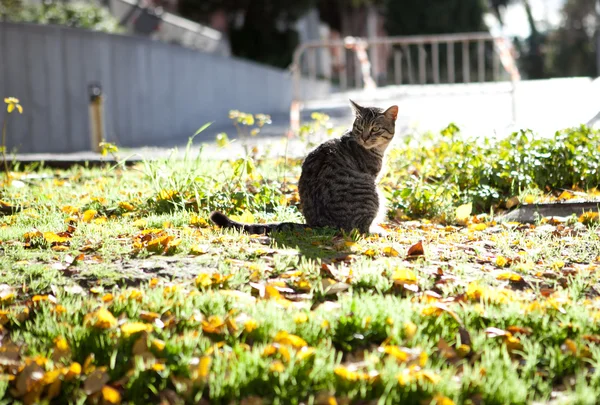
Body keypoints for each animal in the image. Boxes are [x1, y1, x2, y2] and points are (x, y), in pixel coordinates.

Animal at [211, 98, 398, 234]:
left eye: (375, 129)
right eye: (359, 127)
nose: (364, 138)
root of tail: (318, 224)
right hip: (374, 193)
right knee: (361, 229)